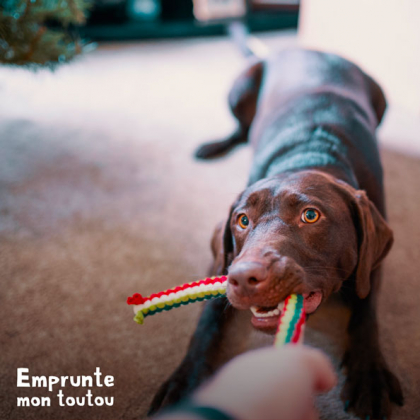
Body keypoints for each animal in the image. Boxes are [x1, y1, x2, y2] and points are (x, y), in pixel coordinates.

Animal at [150, 48, 404, 416]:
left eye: (310, 216)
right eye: (242, 220)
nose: (245, 278)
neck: (309, 154)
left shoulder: (372, 262)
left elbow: (366, 312)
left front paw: (369, 374)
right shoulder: (223, 261)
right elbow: (206, 320)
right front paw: (185, 380)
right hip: (240, 87)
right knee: (241, 130)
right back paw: (213, 146)